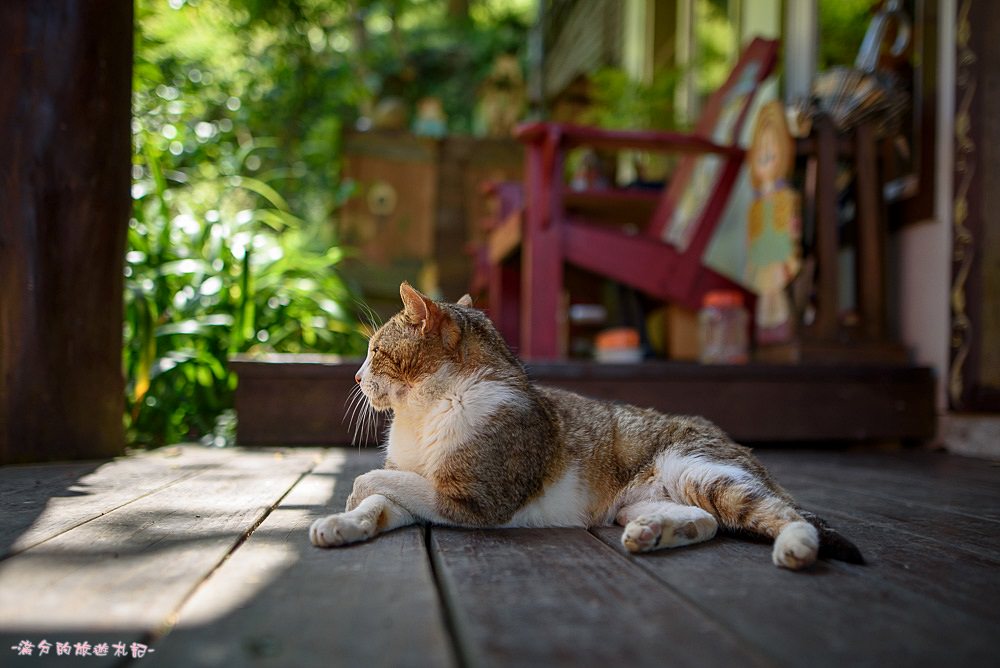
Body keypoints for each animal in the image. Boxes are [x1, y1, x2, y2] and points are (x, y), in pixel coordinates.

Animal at [308, 282, 864, 568]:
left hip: (701, 471)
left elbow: (379, 479)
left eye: (375, 351)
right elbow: (385, 497)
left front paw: (351, 496)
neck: (424, 413)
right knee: (706, 520)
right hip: (645, 499)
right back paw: (655, 533)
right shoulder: (423, 486)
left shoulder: (470, 499)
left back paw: (795, 546)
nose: (355, 375)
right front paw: (342, 523)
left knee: (779, 511)